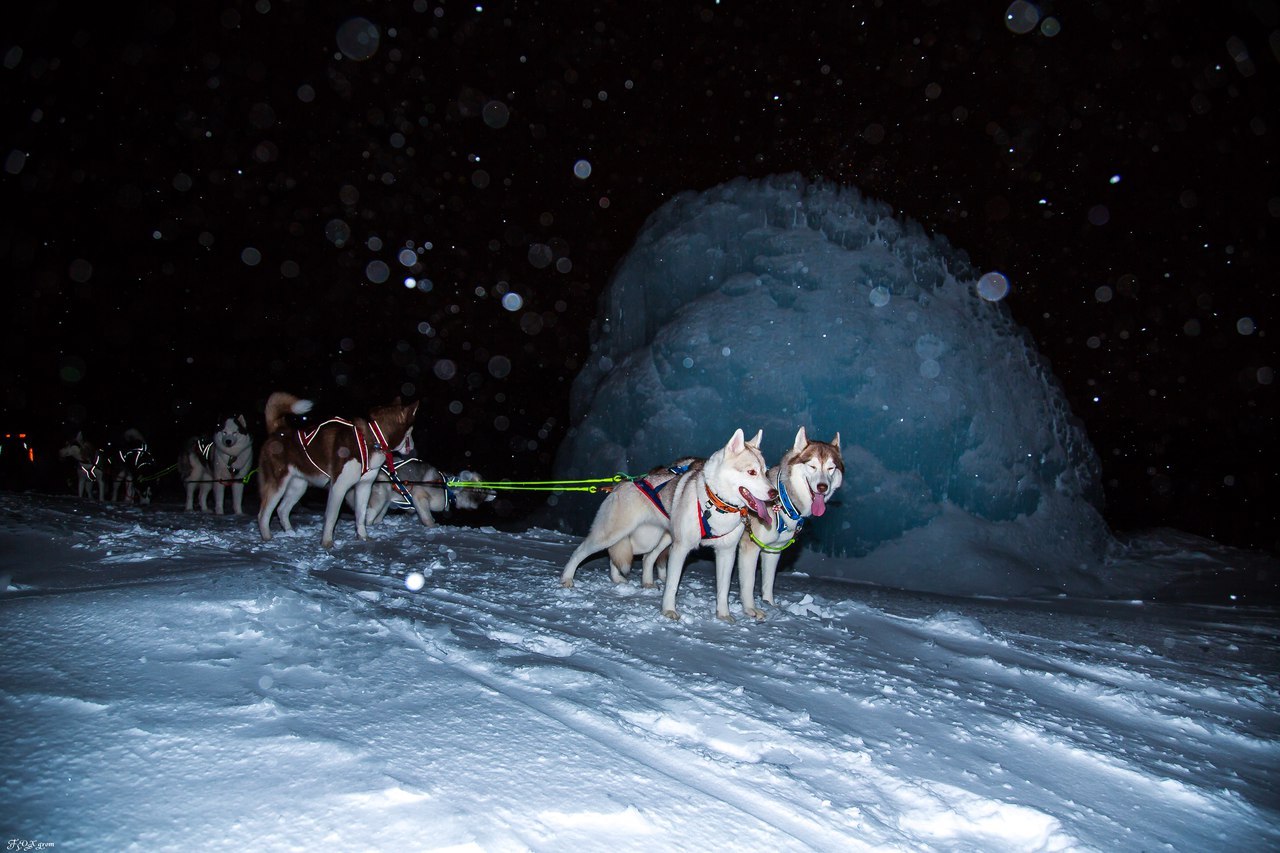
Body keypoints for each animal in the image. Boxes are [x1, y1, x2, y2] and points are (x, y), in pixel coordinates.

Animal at [257, 389, 417, 548]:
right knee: (263, 514)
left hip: (298, 487)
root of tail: (278, 430)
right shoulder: (338, 487)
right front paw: (327, 542)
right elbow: (332, 517)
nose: (414, 447)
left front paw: (363, 537)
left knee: (282, 510)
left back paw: (290, 533)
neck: (372, 438)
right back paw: (267, 538)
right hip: (277, 485)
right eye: (411, 431)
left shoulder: (364, 486)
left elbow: (361, 515)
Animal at [563, 427, 778, 622]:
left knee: (638, 556)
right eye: (751, 472)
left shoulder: (726, 552)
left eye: (765, 472)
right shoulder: (681, 548)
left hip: (652, 540)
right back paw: (566, 578)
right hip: (612, 534)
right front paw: (668, 611)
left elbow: (723, 590)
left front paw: (723, 616)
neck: (716, 502)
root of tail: (621, 484)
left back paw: (628, 580)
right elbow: (673, 584)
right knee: (582, 551)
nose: (774, 493)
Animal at [737, 425, 844, 617]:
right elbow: (748, 583)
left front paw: (769, 604)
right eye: (812, 466)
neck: (783, 502)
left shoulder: (773, 550)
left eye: (831, 468)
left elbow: (768, 582)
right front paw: (750, 609)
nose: (822, 487)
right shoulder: (749, 547)